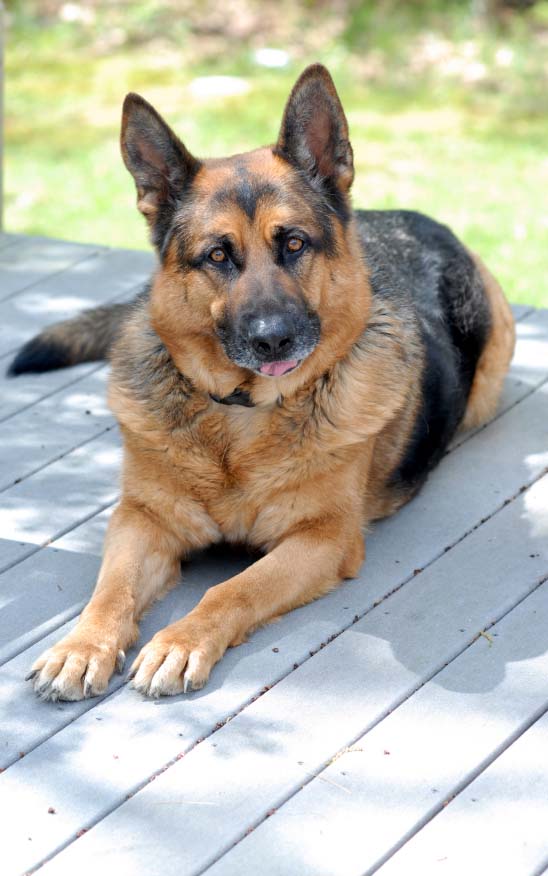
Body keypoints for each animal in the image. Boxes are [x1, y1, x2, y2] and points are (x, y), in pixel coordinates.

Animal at [13, 65, 520, 700]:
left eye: (295, 243)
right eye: (218, 256)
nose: (273, 339)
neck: (240, 413)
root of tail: (418, 218)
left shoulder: (320, 539)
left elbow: (232, 588)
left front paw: (180, 642)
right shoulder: (141, 519)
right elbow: (110, 593)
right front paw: (81, 648)